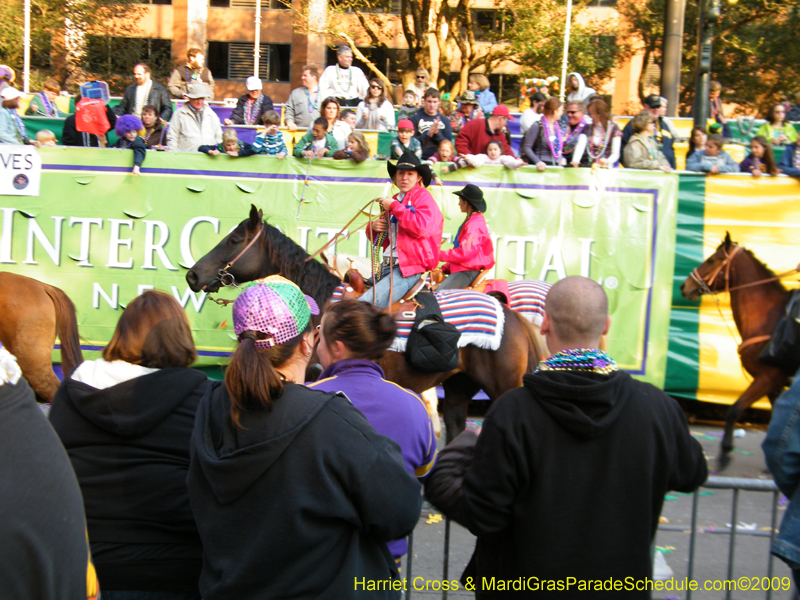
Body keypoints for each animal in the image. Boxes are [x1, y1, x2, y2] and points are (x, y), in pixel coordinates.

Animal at [184, 205, 540, 440]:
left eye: (234, 240)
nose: (193, 276)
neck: (321, 302)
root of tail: (511, 316)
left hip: (504, 386)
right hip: (458, 386)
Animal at [680, 233, 792, 464]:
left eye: (711, 260)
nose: (684, 286)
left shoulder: (768, 377)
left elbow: (734, 409)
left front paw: (725, 451)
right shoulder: (774, 383)